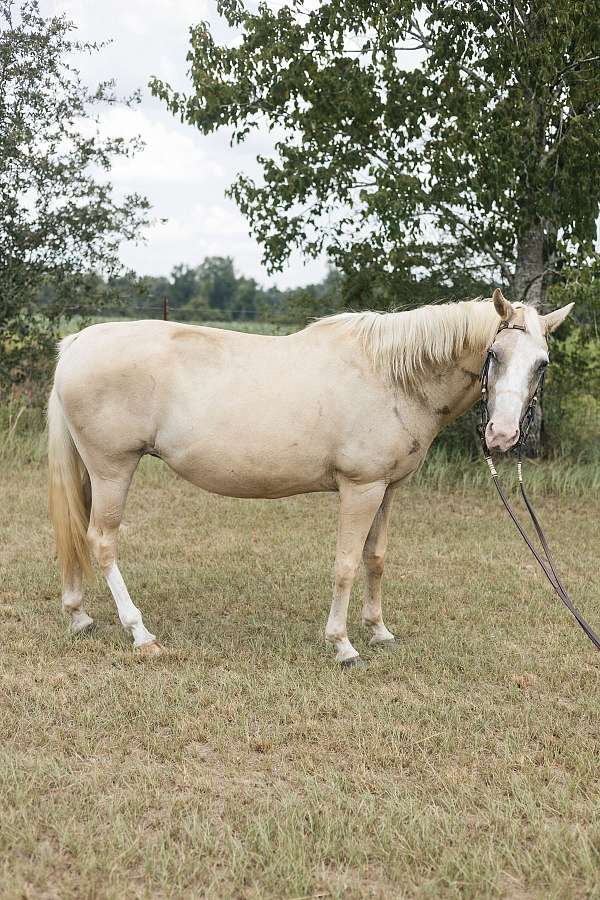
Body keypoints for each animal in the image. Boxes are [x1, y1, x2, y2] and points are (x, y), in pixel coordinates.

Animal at [48, 289, 573, 666]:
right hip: (114, 469)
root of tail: (78, 342)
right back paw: (141, 634)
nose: (502, 435)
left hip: (94, 472)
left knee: (77, 533)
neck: (391, 377)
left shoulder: (388, 489)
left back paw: (79, 616)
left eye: (541, 364)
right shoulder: (360, 489)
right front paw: (343, 645)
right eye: (495, 353)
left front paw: (379, 631)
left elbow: (375, 558)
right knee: (101, 541)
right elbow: (345, 564)